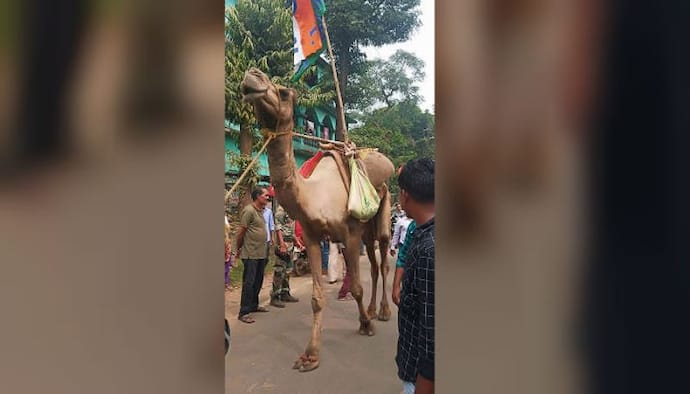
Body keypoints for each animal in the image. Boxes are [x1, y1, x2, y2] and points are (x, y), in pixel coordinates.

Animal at [241, 66, 392, 370]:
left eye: (284, 93)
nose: (253, 74)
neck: (316, 194)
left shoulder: (350, 234)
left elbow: (356, 286)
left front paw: (365, 325)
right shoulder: (312, 237)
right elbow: (316, 298)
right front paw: (310, 355)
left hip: (384, 207)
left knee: (382, 259)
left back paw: (381, 312)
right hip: (366, 231)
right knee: (372, 263)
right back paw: (372, 309)